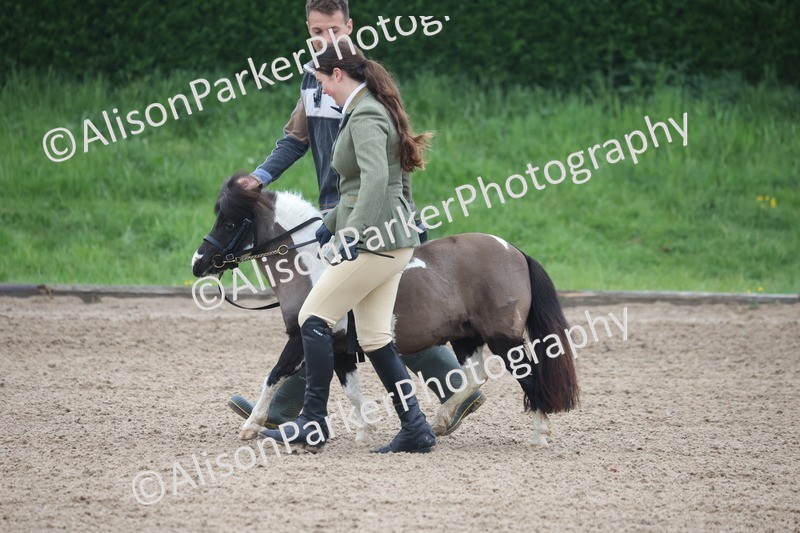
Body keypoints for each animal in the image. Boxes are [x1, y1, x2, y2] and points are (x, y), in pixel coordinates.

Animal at [191, 174, 579, 445]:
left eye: (228, 222)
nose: (198, 263)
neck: (313, 267)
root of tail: (514, 251)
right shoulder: (339, 347)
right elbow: (350, 390)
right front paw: (363, 432)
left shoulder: (302, 336)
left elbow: (274, 375)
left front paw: (251, 425)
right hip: (466, 337)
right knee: (474, 378)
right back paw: (442, 420)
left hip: (504, 338)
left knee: (529, 375)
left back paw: (539, 433)